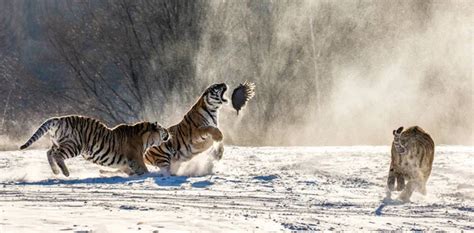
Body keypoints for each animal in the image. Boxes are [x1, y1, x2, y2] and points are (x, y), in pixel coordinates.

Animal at [19, 114, 170, 177]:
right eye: (163, 128)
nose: (168, 132)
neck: (146, 138)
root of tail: (59, 119)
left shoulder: (125, 164)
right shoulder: (136, 158)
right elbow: (144, 170)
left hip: (58, 143)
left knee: (49, 152)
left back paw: (56, 171)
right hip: (74, 145)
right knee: (56, 154)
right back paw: (65, 172)